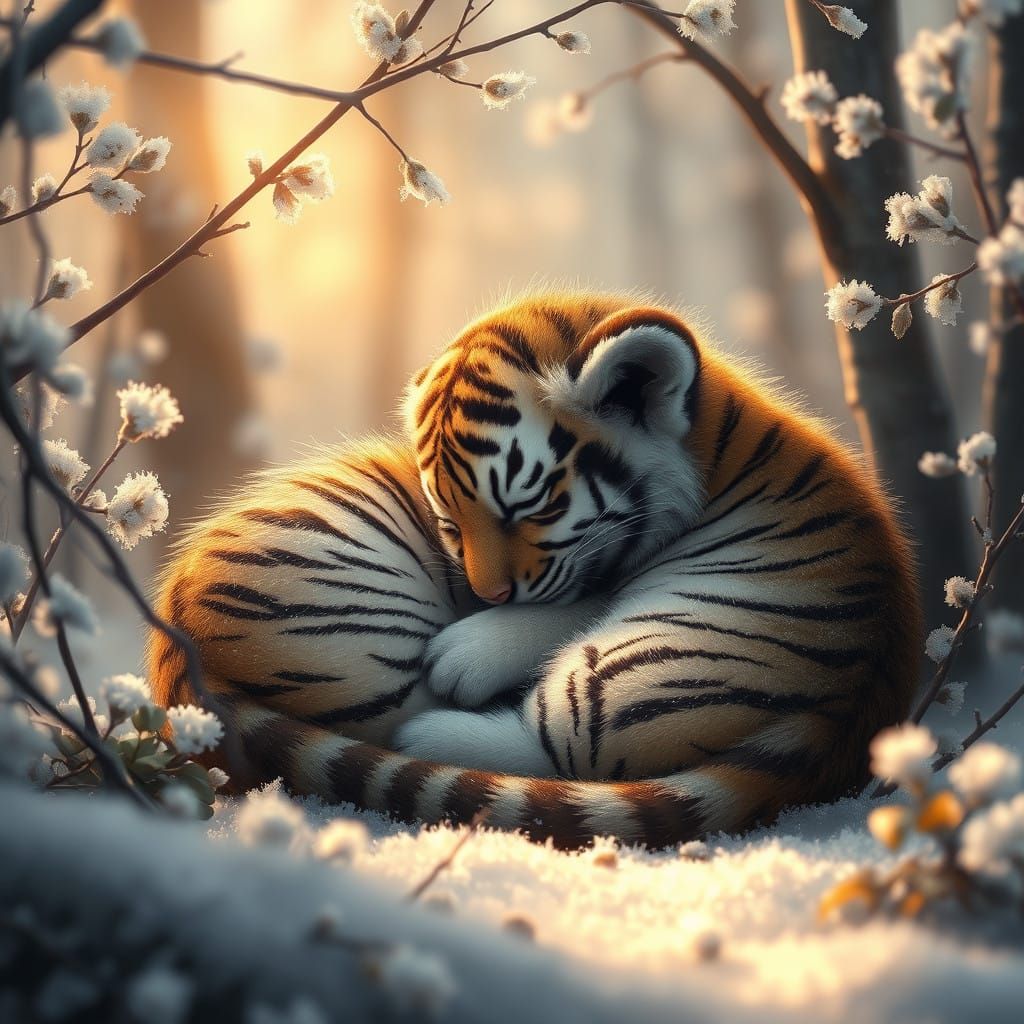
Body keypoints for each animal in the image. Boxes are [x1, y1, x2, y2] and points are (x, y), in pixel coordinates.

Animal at [149, 290, 922, 849]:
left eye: (532, 508)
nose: (485, 592)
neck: (713, 451)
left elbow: (571, 598)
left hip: (634, 668)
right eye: (449, 522)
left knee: (539, 751)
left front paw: (468, 649)